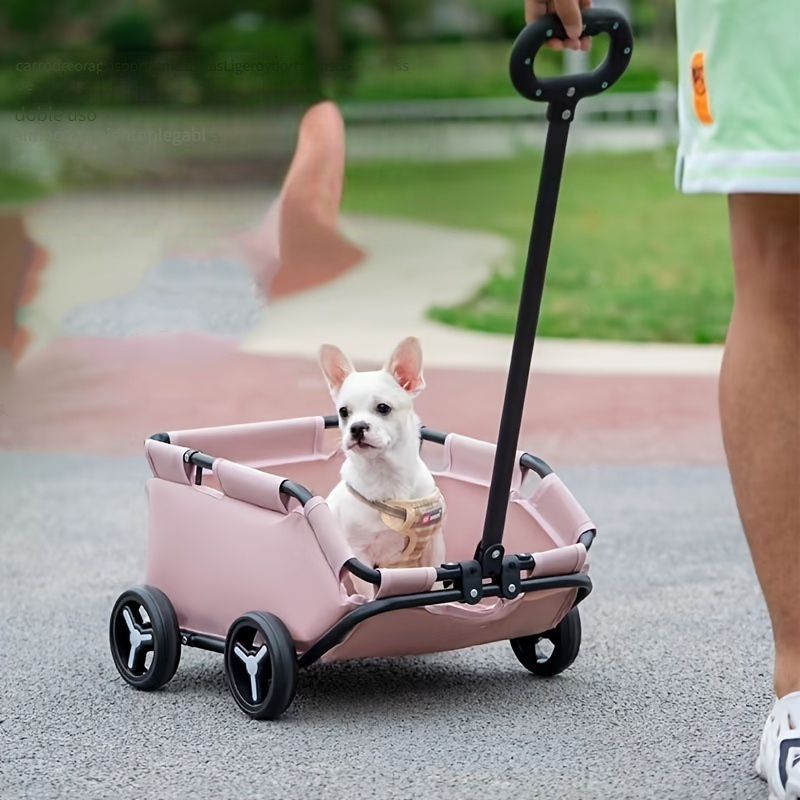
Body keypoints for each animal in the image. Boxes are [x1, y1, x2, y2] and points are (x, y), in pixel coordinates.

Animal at [318, 334, 446, 596]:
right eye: (343, 412)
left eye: (383, 408)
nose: (357, 427)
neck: (387, 475)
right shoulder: (359, 557)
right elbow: (368, 595)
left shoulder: (434, 546)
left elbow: (437, 583)